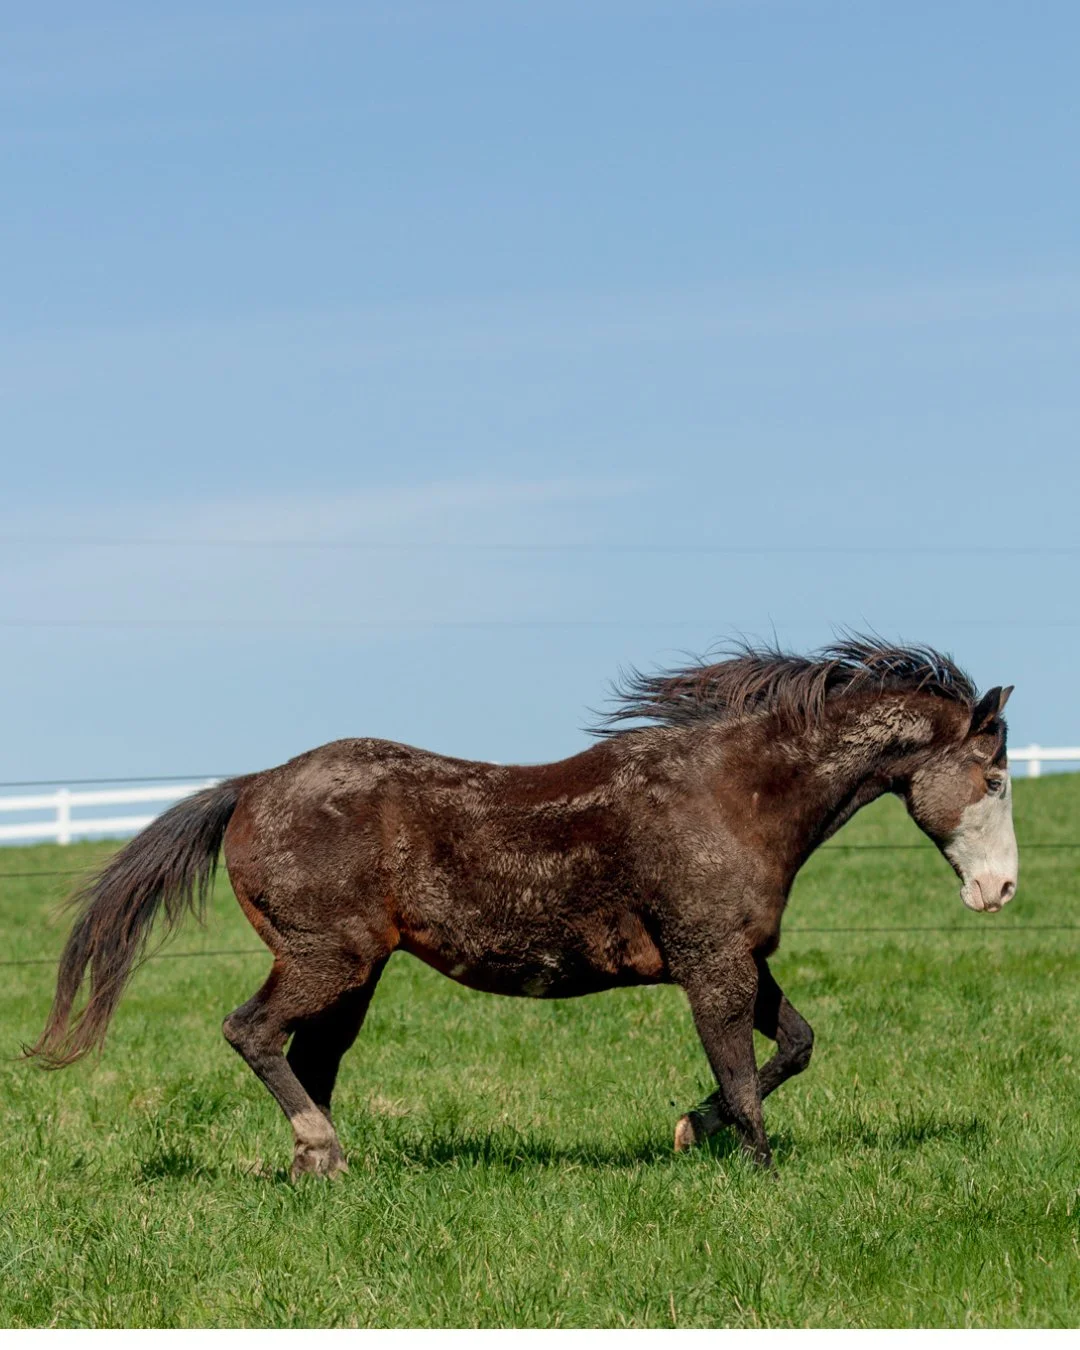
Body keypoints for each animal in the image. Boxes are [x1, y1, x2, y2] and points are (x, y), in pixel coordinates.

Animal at [27, 637, 1018, 1177]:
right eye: (996, 777)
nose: (999, 891)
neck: (732, 796)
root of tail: (251, 786)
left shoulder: (738, 956)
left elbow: (797, 1047)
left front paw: (688, 1129)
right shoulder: (709, 965)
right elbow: (742, 1077)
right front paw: (758, 1175)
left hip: (352, 974)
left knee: (307, 1057)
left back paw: (324, 1166)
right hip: (326, 960)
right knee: (251, 1033)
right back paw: (318, 1150)